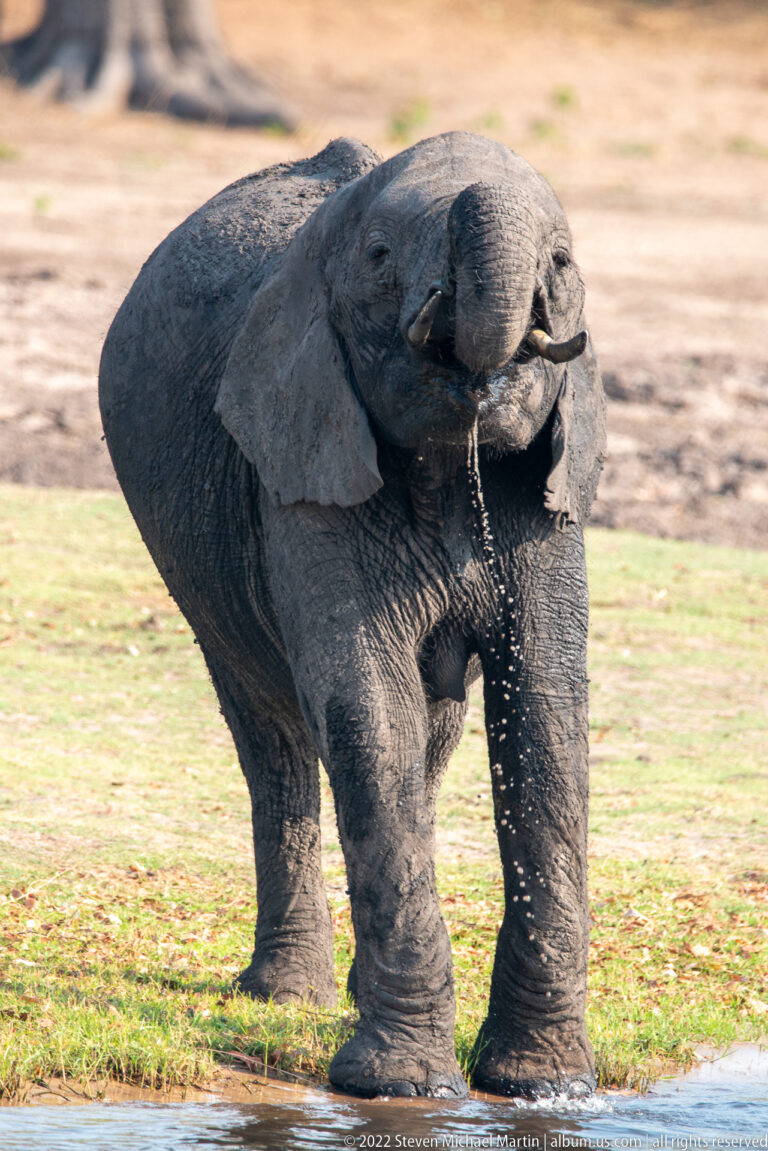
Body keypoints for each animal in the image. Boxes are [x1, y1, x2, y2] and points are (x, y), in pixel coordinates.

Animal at [99, 131, 606, 1101]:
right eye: (378, 258)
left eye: (562, 263)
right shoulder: (302, 461)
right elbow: (368, 709)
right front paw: (401, 1088)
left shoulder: (548, 488)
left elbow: (545, 710)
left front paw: (542, 1086)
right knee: (273, 735)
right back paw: (286, 996)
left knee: (432, 735)